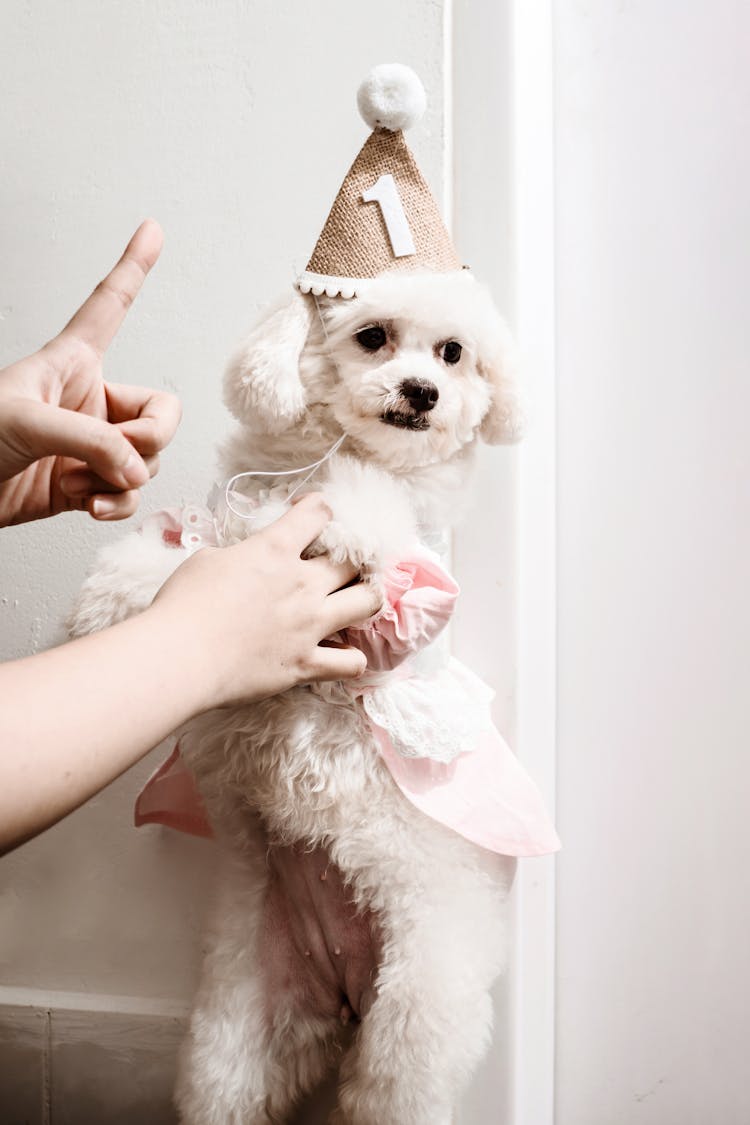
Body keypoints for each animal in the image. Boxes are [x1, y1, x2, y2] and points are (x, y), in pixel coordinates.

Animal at [73, 267, 526, 1120]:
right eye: (373, 336)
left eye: (453, 353)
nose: (422, 391)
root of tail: (343, 995)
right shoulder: (220, 535)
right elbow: (176, 564)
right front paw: (108, 600)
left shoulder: (404, 604)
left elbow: (376, 530)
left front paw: (354, 522)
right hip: (236, 1040)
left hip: (418, 1018)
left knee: (392, 1084)